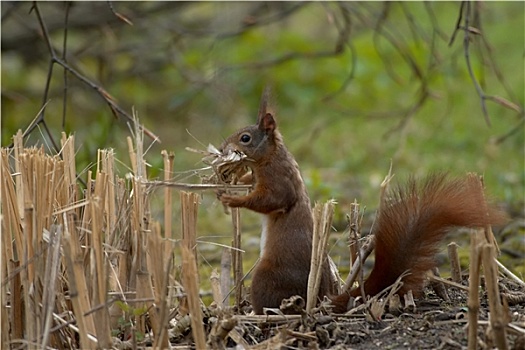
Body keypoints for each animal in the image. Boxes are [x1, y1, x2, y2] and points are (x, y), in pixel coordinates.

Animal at [216, 91, 504, 314]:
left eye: (245, 138)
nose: (222, 148)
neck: (272, 156)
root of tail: (320, 299)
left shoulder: (279, 180)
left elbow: (270, 200)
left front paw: (233, 199)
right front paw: (235, 179)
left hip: (267, 278)